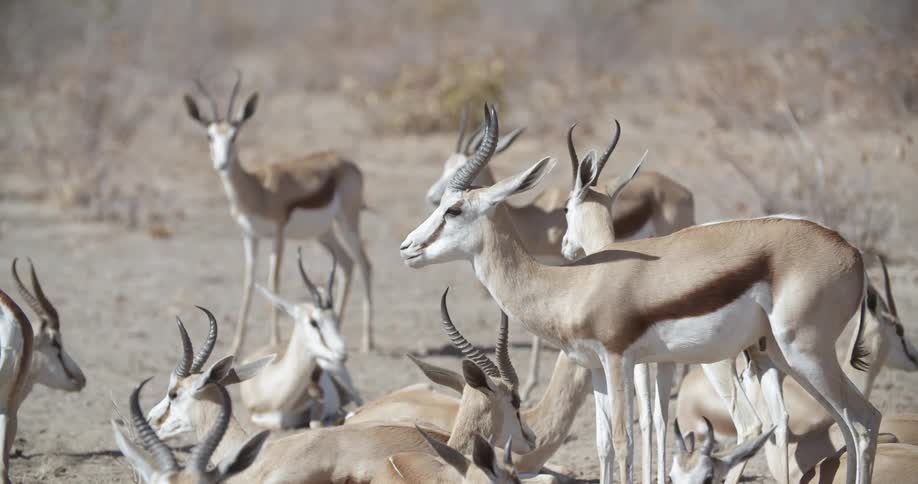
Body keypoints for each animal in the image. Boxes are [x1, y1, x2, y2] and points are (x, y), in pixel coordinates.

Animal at [183, 71, 373, 354]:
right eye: (210, 136)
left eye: (234, 135)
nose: (222, 164)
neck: (257, 189)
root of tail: (346, 163)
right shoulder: (250, 236)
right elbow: (248, 283)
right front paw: (236, 347)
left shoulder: (278, 234)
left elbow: (274, 281)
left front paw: (274, 341)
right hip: (324, 233)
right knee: (346, 265)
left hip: (347, 222)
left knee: (364, 264)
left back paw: (367, 342)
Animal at [400, 104, 881, 484]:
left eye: (453, 209)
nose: (407, 247)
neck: (571, 283)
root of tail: (852, 251)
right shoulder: (595, 368)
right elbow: (604, 443)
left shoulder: (619, 360)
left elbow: (625, 438)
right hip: (779, 355)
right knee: (840, 424)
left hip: (803, 352)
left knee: (861, 421)